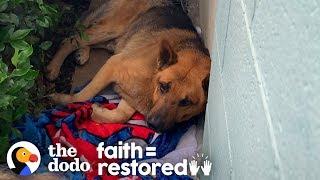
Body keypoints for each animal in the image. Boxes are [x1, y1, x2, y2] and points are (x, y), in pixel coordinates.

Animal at [47, 0, 210, 132]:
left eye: (186, 102)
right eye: (164, 86)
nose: (153, 125)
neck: (152, 78)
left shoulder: (132, 96)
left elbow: (120, 116)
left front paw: (97, 111)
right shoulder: (113, 65)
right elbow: (85, 94)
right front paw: (62, 100)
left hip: (117, 39)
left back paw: (82, 53)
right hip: (110, 30)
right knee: (72, 39)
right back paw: (53, 68)